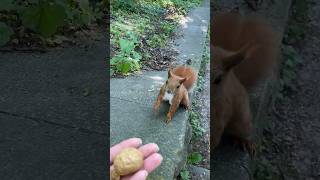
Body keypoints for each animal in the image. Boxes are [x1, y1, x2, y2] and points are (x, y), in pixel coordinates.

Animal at [211, 11, 278, 155]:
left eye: (218, 79)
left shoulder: (221, 111)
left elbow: (214, 137)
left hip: (242, 119)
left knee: (243, 130)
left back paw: (245, 141)